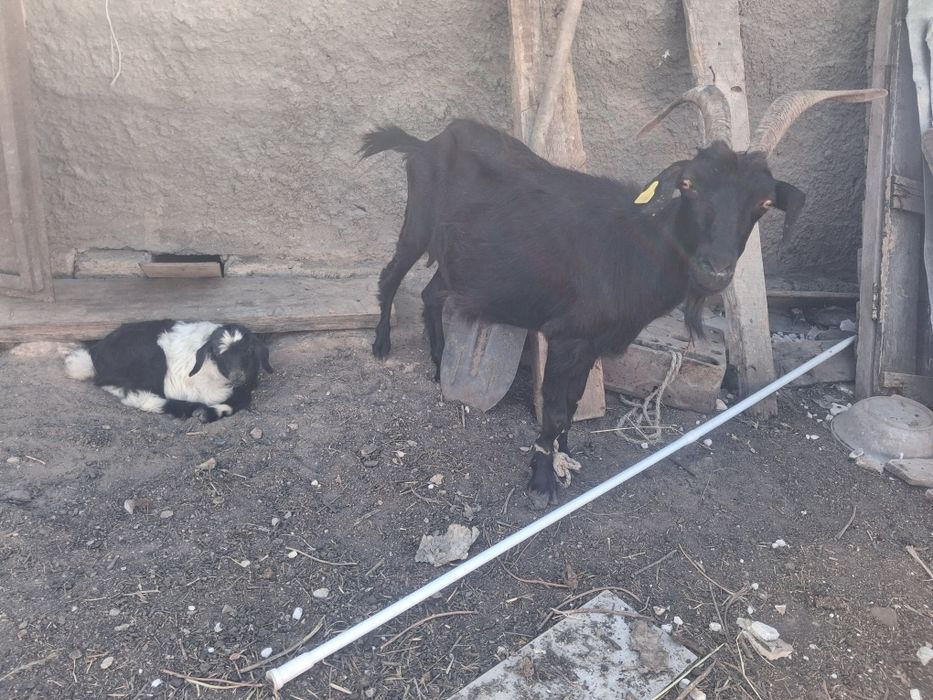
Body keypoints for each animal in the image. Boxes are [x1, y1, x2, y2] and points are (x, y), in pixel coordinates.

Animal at [65, 320, 273, 423]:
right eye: (216, 353)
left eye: (249, 350)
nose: (237, 376)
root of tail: (94, 354)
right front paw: (206, 412)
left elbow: (243, 398)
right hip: (153, 357)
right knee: (140, 396)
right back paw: (186, 408)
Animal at [362, 86, 883, 509]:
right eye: (689, 185)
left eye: (764, 203)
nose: (714, 270)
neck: (636, 244)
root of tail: (425, 143)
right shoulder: (568, 336)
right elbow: (554, 406)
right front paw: (541, 481)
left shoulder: (591, 341)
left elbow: (573, 403)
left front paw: (564, 456)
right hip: (418, 223)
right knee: (390, 276)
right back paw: (381, 345)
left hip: (465, 261)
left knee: (432, 293)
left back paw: (439, 361)